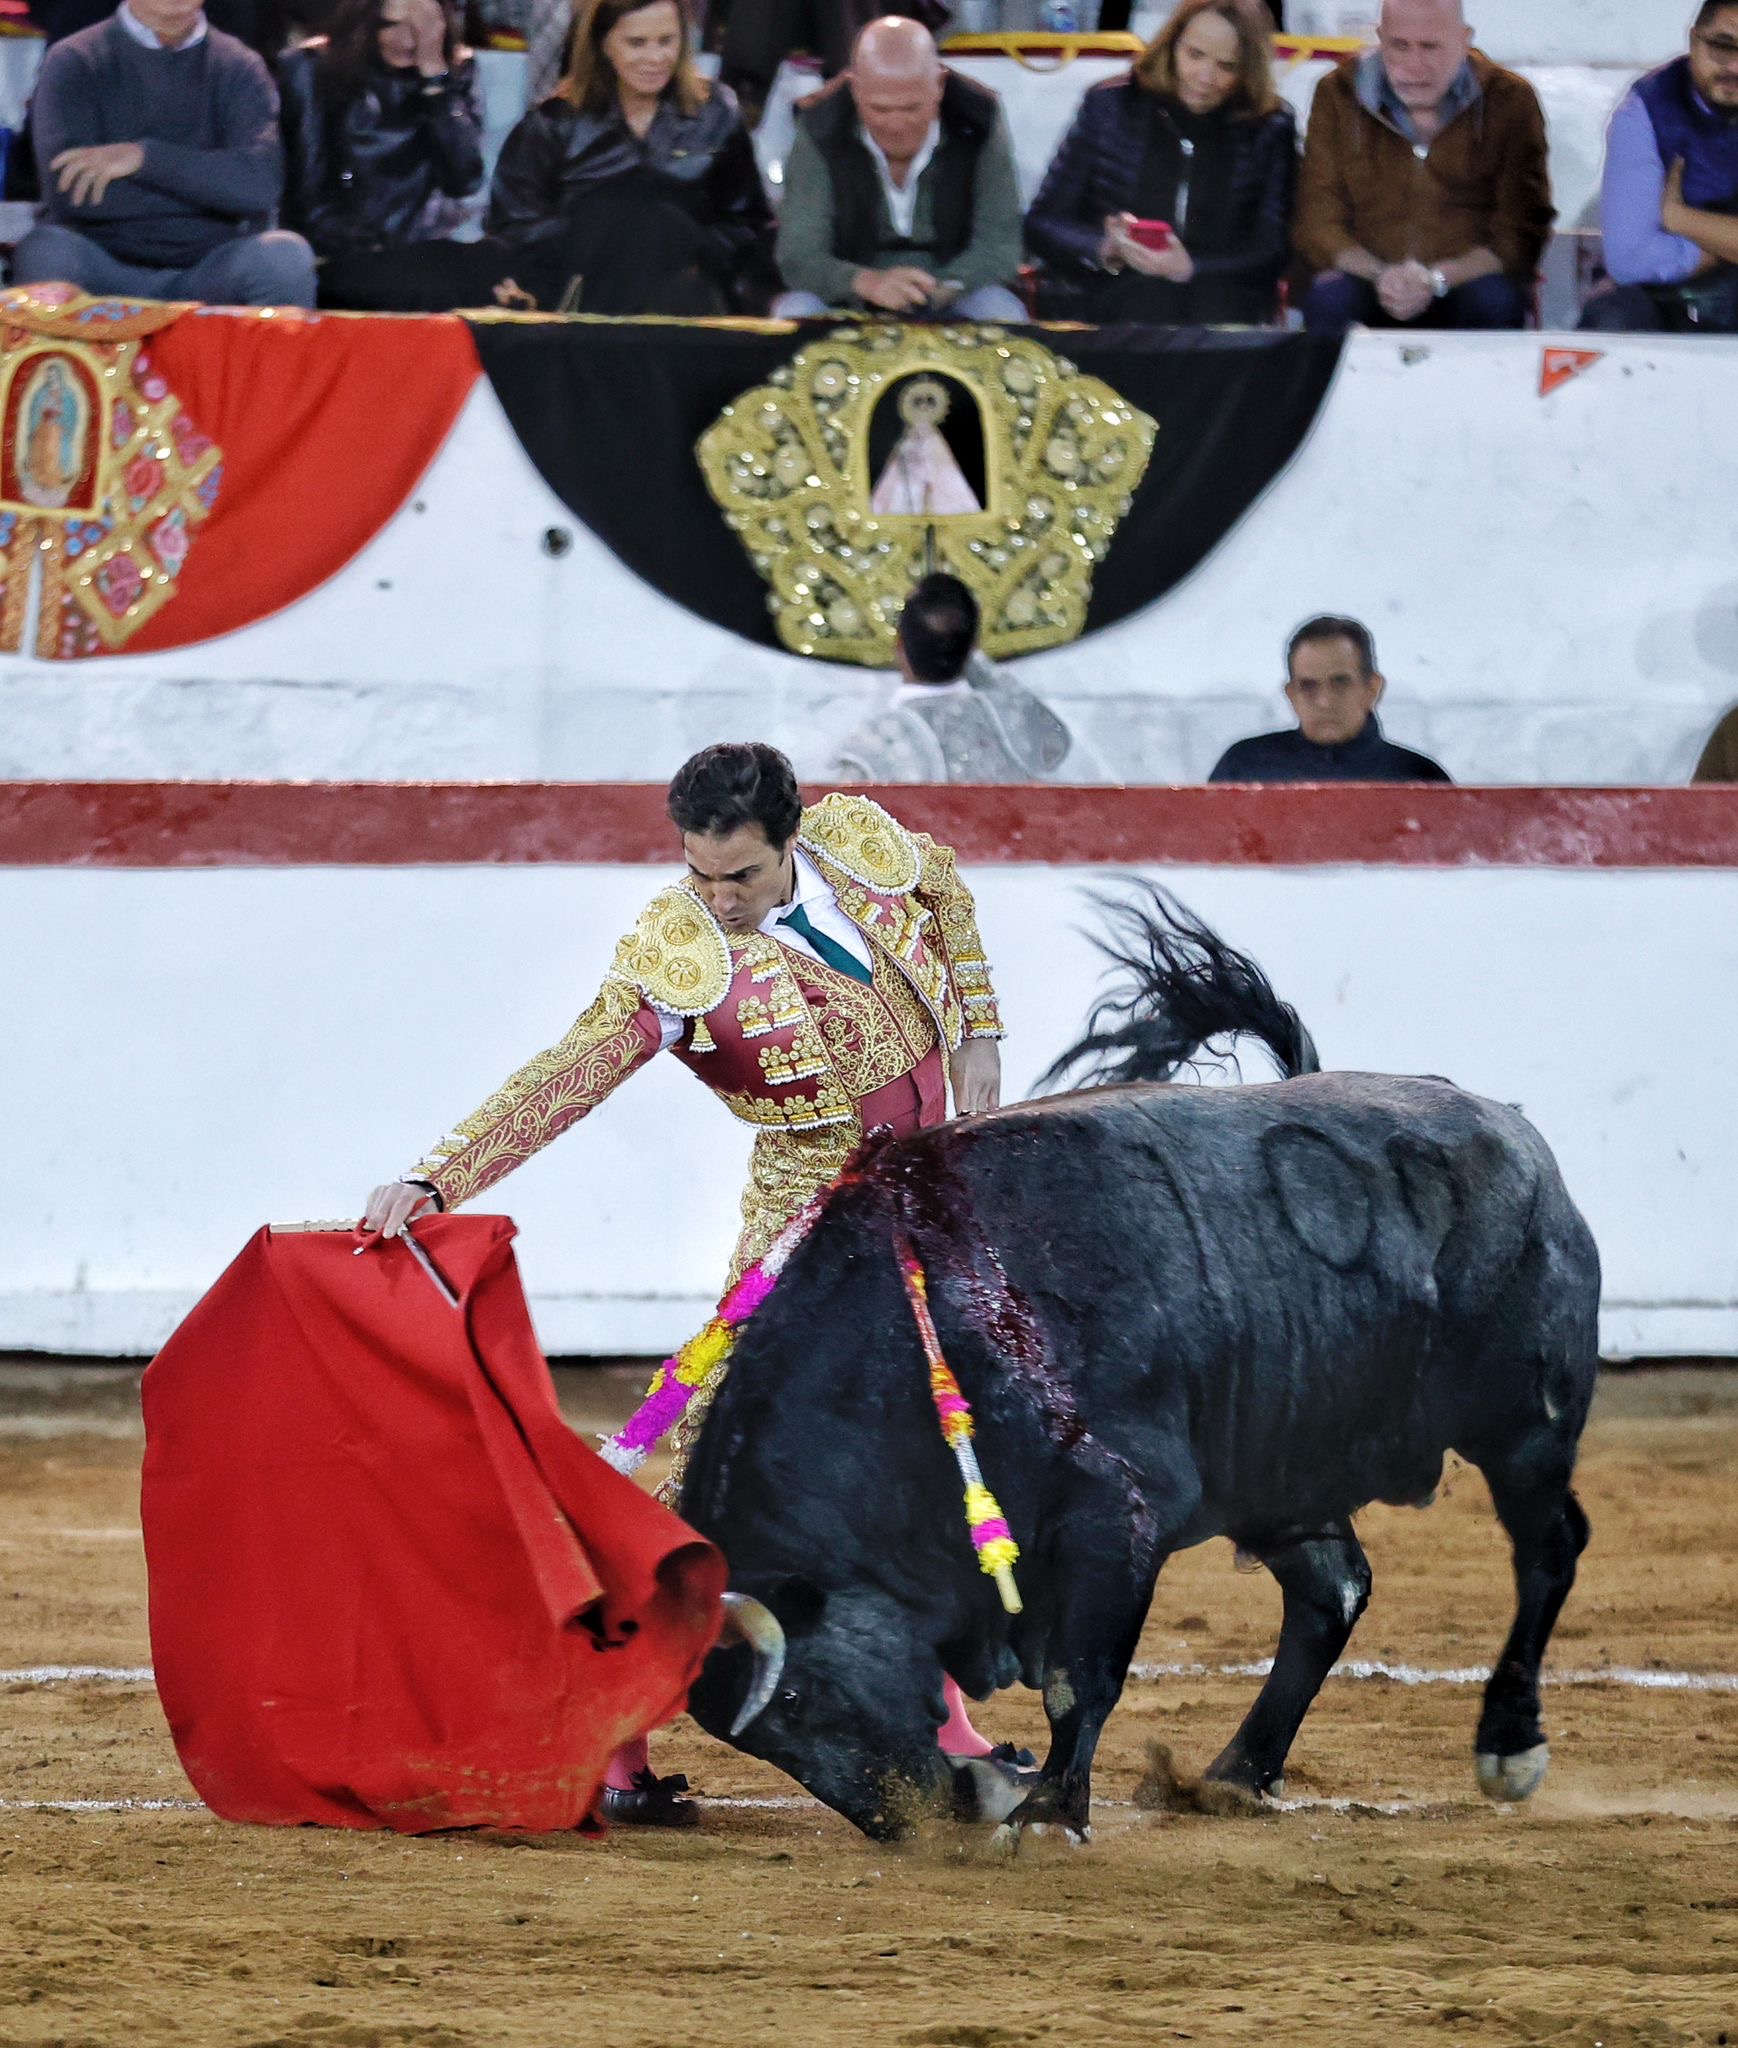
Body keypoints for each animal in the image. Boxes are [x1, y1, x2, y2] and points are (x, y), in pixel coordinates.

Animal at [682, 891, 1599, 1845]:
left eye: (793, 1699)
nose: (919, 1817)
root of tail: (1510, 1126)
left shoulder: (1120, 1510)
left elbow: (1077, 1678)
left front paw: (1050, 1813)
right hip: (1279, 1466)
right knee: (1334, 1591)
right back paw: (1239, 1771)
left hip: (1524, 1425)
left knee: (1547, 1546)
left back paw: (1508, 1744)